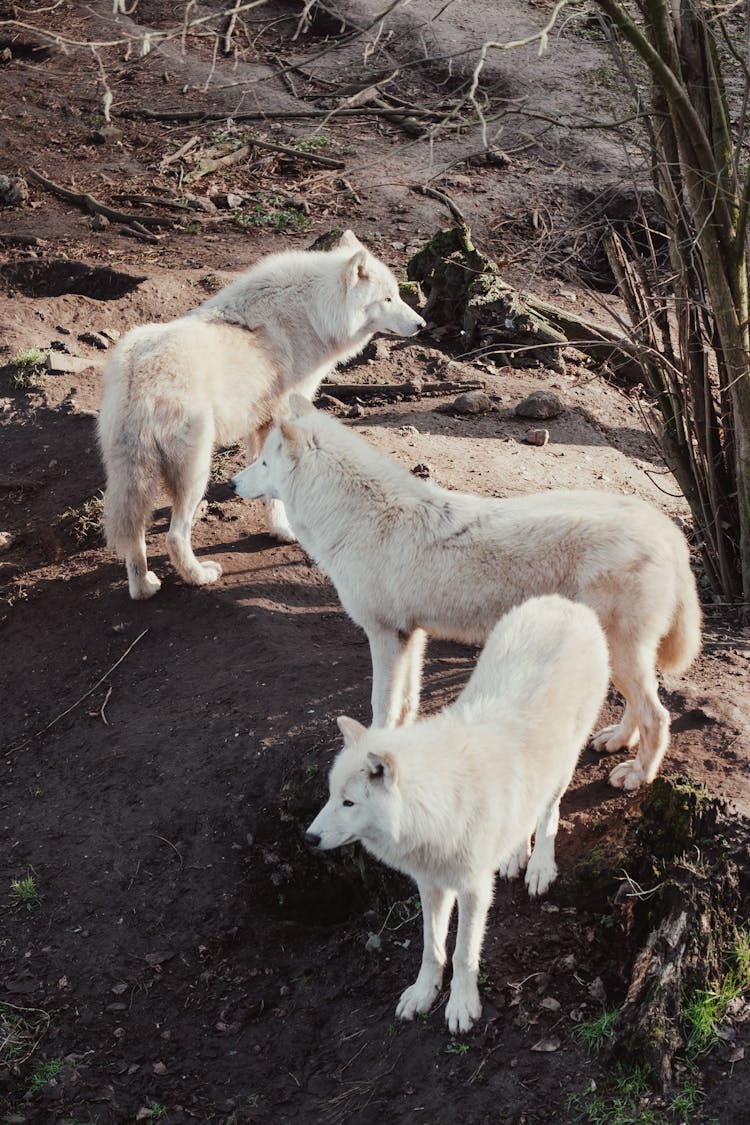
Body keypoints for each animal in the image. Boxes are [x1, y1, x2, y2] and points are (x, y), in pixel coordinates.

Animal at [96, 227, 425, 598]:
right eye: (388, 299)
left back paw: (144, 587)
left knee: (133, 536)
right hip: (195, 471)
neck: (314, 315)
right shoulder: (278, 419)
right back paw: (200, 576)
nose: (422, 323)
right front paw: (283, 531)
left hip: (132, 477)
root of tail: (140, 369)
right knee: (175, 535)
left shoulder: (258, 425)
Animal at [232, 396, 706, 792]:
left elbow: (381, 705)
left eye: (264, 463)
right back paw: (617, 741)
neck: (358, 518)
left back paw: (637, 775)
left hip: (620, 651)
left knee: (658, 716)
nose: (234, 483)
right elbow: (406, 703)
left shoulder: (384, 635)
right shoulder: (410, 635)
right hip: (619, 652)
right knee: (640, 708)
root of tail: (666, 528)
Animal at [305, 598, 611, 1030]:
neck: (436, 807)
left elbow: (464, 954)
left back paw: (538, 866)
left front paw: (462, 1005)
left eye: (349, 803)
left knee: (548, 811)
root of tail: (565, 603)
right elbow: (431, 948)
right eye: (332, 796)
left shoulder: (473, 889)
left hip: (564, 762)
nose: (309, 837)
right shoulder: (431, 884)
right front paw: (422, 993)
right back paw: (514, 854)